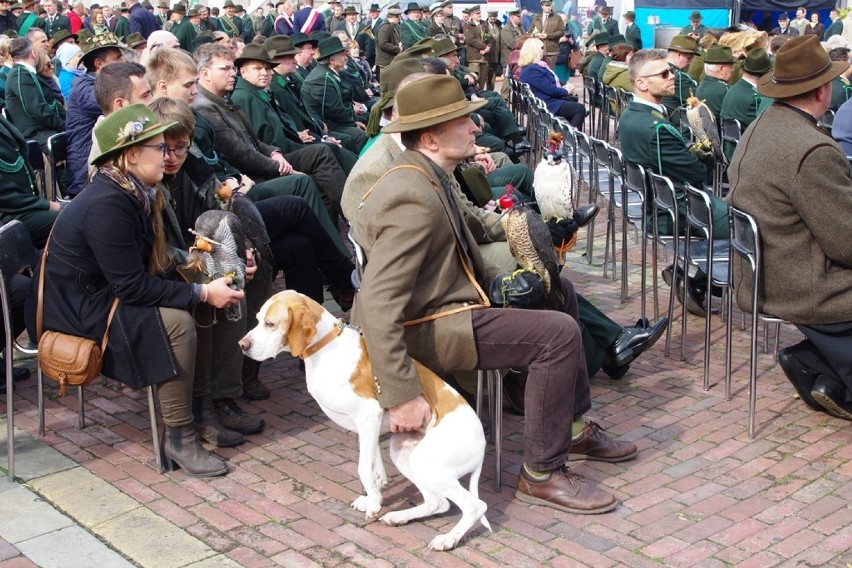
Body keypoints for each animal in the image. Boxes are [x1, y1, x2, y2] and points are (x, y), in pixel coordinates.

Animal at [240, 290, 492, 548]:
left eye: (270, 324)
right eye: (257, 319)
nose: (242, 345)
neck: (327, 348)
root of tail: (482, 444)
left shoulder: (369, 415)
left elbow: (363, 467)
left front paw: (373, 504)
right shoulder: (369, 427)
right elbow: (374, 466)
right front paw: (376, 495)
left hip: (429, 464)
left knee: (475, 506)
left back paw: (447, 539)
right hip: (405, 453)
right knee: (438, 502)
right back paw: (399, 517)